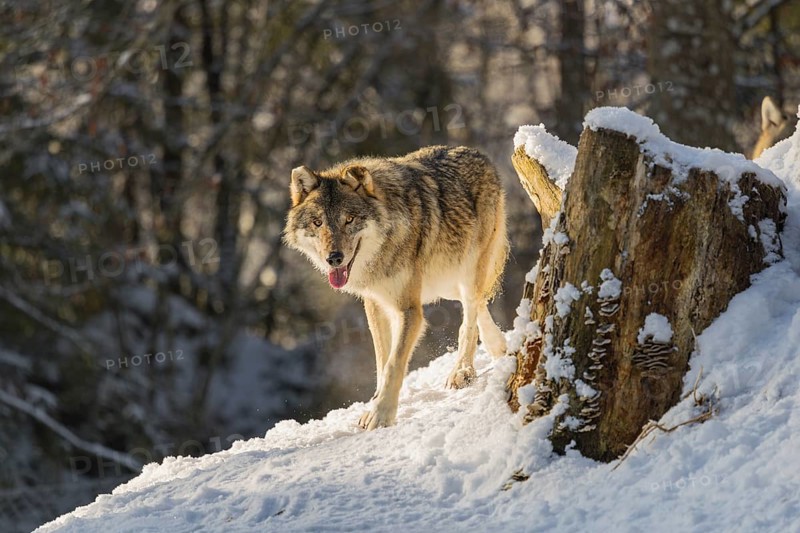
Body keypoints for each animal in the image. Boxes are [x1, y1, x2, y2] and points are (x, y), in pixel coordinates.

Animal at [283, 146, 509, 430]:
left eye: (349, 219)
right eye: (318, 223)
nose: (333, 258)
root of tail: (477, 153)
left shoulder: (409, 310)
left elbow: (394, 364)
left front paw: (380, 415)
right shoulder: (375, 304)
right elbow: (382, 362)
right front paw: (375, 403)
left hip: (467, 272)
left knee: (469, 318)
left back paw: (462, 371)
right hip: (447, 280)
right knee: (479, 304)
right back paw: (498, 346)